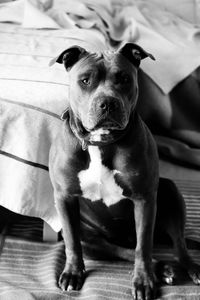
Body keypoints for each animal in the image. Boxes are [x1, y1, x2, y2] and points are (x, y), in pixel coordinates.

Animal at [48, 42, 200, 300]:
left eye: (124, 79)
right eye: (85, 80)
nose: (108, 102)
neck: (101, 142)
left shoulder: (144, 199)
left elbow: (144, 246)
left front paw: (143, 281)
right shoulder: (64, 197)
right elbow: (71, 242)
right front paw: (72, 273)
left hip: (169, 191)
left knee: (176, 246)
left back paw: (186, 268)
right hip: (93, 240)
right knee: (120, 250)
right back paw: (163, 268)